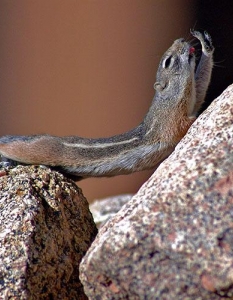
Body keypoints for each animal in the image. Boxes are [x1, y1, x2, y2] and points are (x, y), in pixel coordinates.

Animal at [0, 30, 215, 180]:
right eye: (168, 61)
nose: (181, 40)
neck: (169, 98)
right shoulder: (172, 121)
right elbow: (185, 124)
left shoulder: (194, 98)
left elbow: (201, 88)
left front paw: (206, 45)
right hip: (37, 151)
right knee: (14, 148)